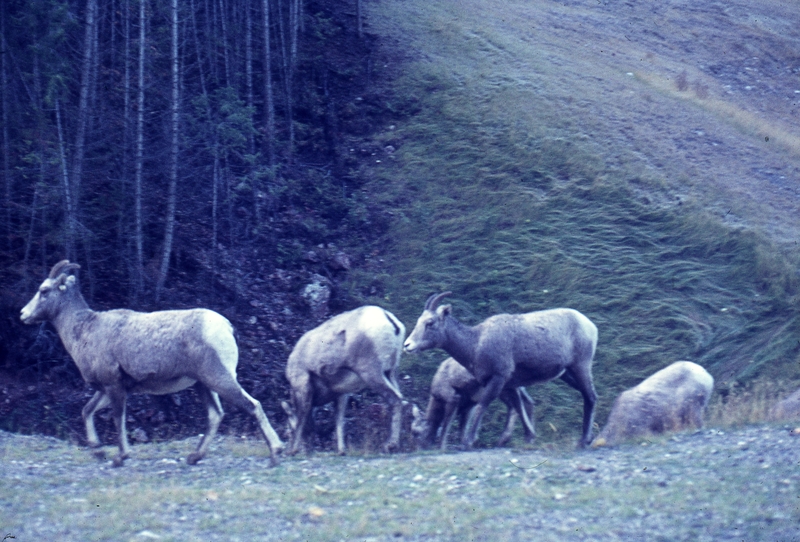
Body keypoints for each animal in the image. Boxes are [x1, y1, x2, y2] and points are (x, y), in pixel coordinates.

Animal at [18, 262, 284, 470]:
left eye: (44, 290)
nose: (23, 314)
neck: (84, 331)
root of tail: (226, 327)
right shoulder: (106, 389)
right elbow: (87, 411)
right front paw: (98, 451)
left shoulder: (114, 387)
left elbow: (118, 419)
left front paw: (120, 457)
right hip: (204, 384)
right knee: (215, 415)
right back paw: (194, 457)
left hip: (218, 378)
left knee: (252, 405)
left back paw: (275, 454)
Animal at [282, 308, 406, 456]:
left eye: (289, 428)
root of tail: (388, 319)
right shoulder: (342, 394)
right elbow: (339, 420)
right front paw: (341, 450)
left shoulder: (303, 387)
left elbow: (302, 417)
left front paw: (292, 450)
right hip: (391, 372)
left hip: (372, 374)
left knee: (395, 399)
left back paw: (390, 445)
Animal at [404, 294, 596, 450]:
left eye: (430, 323)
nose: (407, 345)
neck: (475, 343)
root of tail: (590, 325)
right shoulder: (509, 385)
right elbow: (519, 407)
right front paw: (528, 438)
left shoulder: (497, 379)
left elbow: (483, 405)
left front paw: (468, 442)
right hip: (566, 373)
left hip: (581, 367)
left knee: (591, 396)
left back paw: (584, 441)